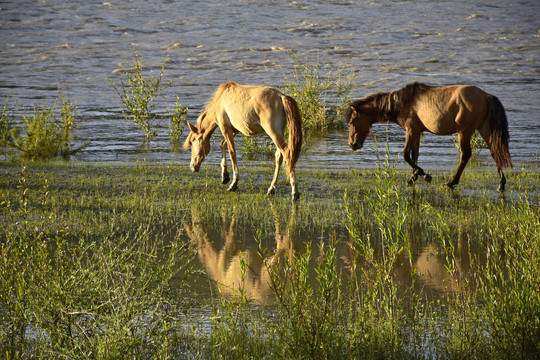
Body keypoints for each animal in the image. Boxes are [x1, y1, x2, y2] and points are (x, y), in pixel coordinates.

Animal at [344, 83, 512, 191]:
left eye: (352, 121)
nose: (352, 144)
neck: (403, 103)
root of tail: (485, 96)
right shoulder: (417, 131)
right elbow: (414, 155)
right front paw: (414, 177)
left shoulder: (410, 130)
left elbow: (406, 155)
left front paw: (424, 175)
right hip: (483, 128)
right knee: (495, 151)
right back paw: (501, 183)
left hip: (464, 131)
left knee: (465, 155)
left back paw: (452, 182)